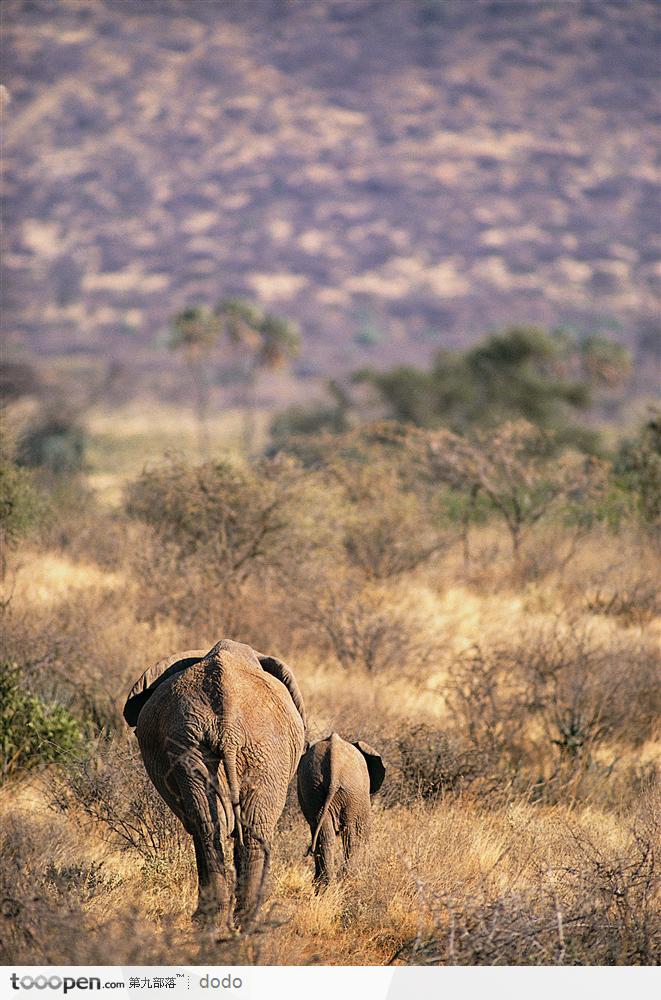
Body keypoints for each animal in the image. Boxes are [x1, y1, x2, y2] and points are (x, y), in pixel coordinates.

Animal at [122, 640, 306, 928]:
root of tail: (227, 724)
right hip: (213, 744)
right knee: (227, 827)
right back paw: (235, 919)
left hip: (225, 746)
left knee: (216, 826)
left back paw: (226, 919)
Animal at [296, 732, 384, 888]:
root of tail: (335, 769)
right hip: (353, 793)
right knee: (354, 836)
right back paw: (349, 880)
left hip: (314, 789)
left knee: (325, 835)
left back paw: (324, 884)